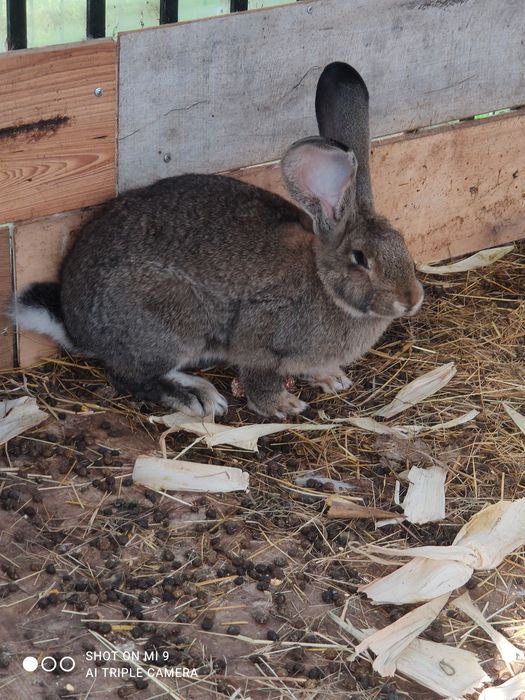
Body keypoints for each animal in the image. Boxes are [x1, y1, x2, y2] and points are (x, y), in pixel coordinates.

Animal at [14, 61, 422, 416]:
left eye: (402, 243)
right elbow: (259, 376)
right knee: (129, 375)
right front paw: (281, 405)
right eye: (361, 258)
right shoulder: (259, 336)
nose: (411, 299)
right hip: (173, 321)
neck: (325, 285)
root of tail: (75, 325)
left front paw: (330, 377)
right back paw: (194, 397)